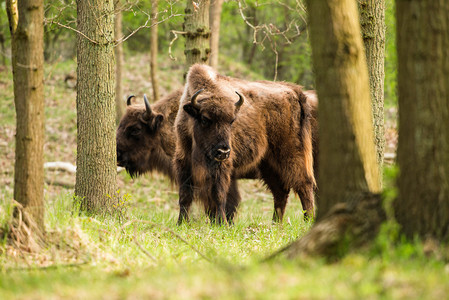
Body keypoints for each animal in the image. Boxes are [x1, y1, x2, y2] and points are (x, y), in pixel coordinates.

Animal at [174, 65, 316, 225]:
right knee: (280, 192)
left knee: (304, 184)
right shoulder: (184, 161)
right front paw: (181, 222)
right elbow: (185, 195)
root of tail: (294, 91)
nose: (223, 151)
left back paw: (308, 220)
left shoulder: (222, 166)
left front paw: (222, 223)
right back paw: (275, 223)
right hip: (267, 163)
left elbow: (219, 195)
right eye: (205, 119)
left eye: (231, 121)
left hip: (290, 154)